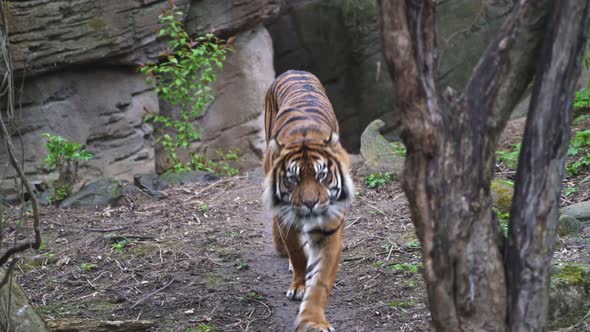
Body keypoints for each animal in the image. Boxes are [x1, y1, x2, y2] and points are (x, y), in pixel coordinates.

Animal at [264, 70, 356, 332]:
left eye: (321, 175)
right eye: (293, 178)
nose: (310, 203)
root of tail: (294, 71)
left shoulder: (330, 230)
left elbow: (321, 280)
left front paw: (314, 321)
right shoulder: (286, 219)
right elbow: (297, 254)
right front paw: (299, 285)